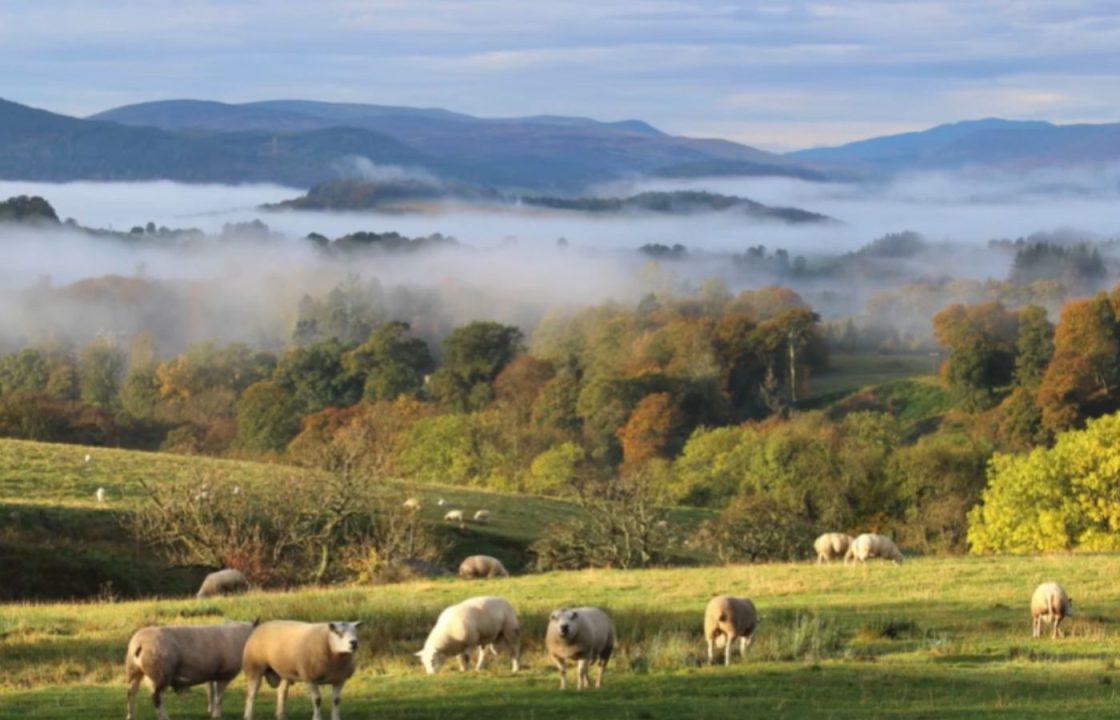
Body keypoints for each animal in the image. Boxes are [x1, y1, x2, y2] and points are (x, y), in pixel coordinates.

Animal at [124, 618, 256, 720]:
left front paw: (211, 710)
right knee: (156, 698)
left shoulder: (212, 673)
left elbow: (211, 692)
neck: (241, 636)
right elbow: (219, 696)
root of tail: (139, 643)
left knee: (131, 693)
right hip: (160, 672)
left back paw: (130, 716)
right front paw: (217, 714)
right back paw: (164, 717)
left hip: (134, 670)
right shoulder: (225, 673)